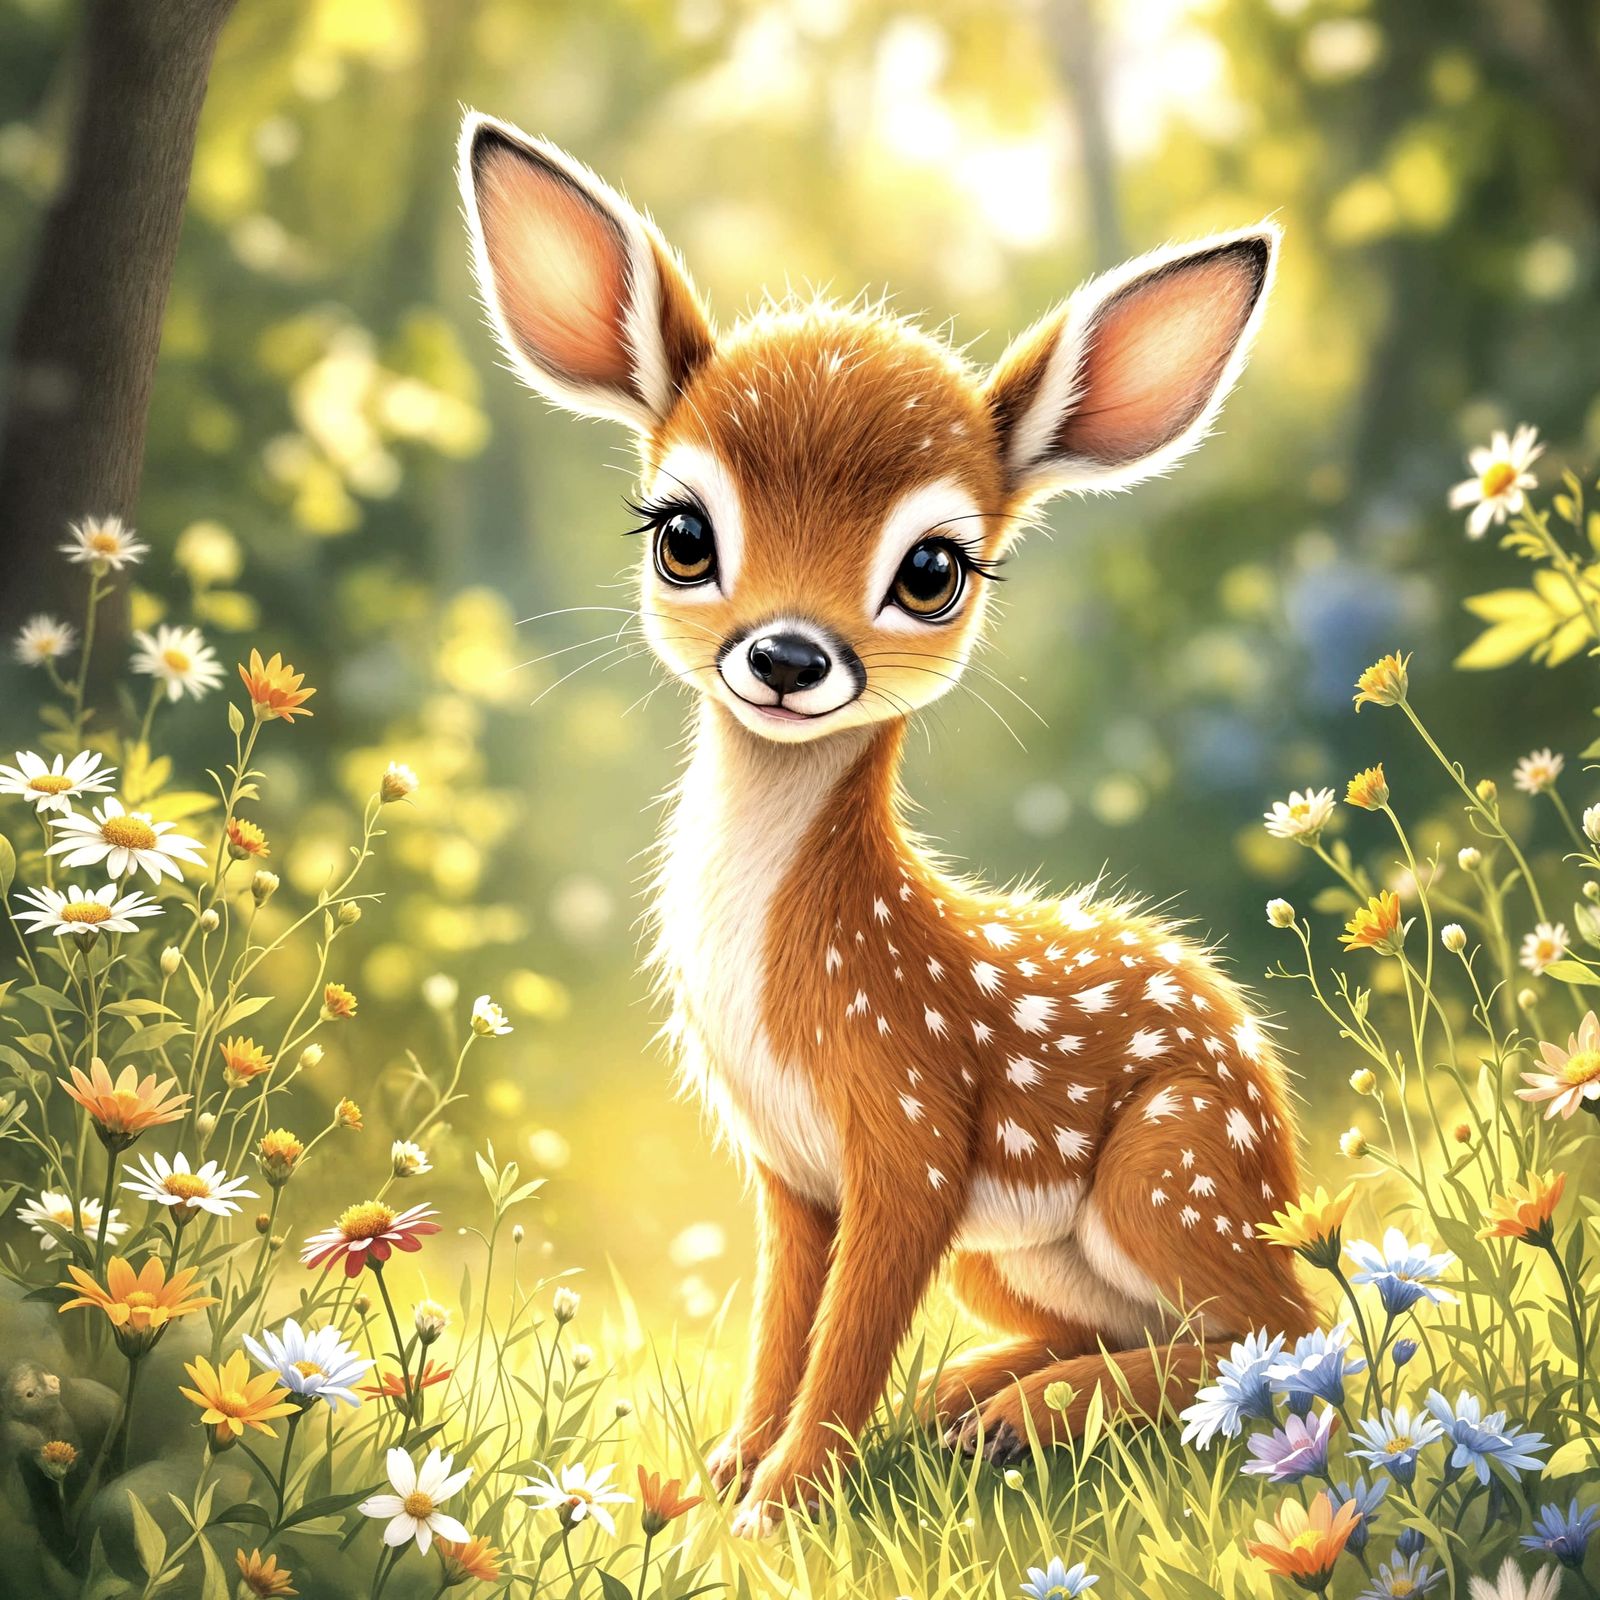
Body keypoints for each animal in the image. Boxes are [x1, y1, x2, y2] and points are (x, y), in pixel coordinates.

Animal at [458, 111, 1314, 1534]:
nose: (788, 655)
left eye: (932, 570)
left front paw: (785, 1501)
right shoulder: (783, 1169)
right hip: (1016, 1250)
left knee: (1295, 1343)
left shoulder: (912, 1127)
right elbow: (780, 1330)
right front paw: (720, 1476)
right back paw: (970, 1400)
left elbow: (848, 1338)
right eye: (682, 533)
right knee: (1167, 1330)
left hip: (1172, 1160)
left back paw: (1020, 1417)